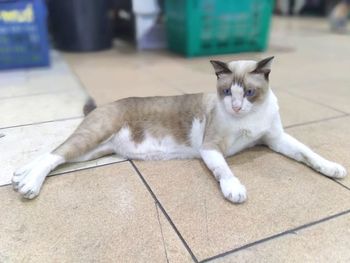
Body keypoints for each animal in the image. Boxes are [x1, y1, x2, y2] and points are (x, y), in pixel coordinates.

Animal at [11, 56, 348, 203]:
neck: (247, 118)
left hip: (93, 150)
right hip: (91, 138)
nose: (236, 106)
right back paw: (29, 185)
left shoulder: (275, 139)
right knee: (54, 155)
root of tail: (102, 105)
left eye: (250, 93)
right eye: (227, 92)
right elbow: (224, 171)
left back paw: (19, 176)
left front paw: (332, 168)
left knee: (54, 154)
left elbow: (308, 153)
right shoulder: (211, 148)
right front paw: (234, 189)